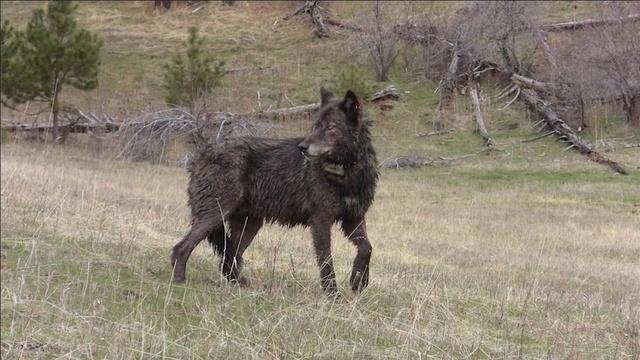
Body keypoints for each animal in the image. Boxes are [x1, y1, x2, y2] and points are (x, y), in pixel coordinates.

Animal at [172, 88, 378, 296]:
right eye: (314, 126)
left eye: (330, 127)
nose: (302, 147)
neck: (346, 172)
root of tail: (202, 153)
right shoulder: (321, 221)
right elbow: (327, 261)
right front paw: (332, 294)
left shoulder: (354, 218)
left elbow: (367, 248)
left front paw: (358, 281)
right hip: (216, 215)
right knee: (182, 248)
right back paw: (179, 281)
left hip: (249, 225)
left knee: (229, 258)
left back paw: (240, 284)